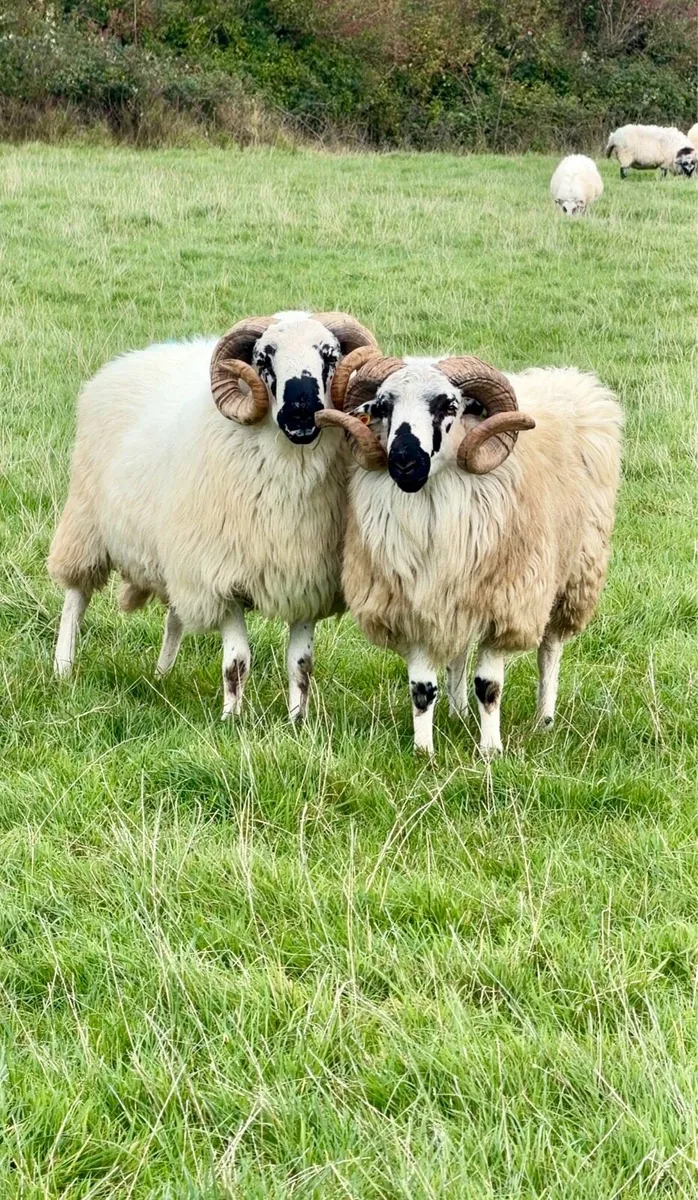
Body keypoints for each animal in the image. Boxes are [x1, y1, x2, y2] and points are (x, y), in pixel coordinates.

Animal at [48, 311, 379, 721]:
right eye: (263, 358)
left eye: (330, 356)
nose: (301, 412)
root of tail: (136, 356)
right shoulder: (221, 578)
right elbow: (237, 661)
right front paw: (231, 719)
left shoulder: (305, 579)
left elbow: (300, 664)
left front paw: (297, 721)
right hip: (85, 523)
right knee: (75, 597)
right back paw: (63, 668)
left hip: (174, 551)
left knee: (174, 614)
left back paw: (161, 676)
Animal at [316, 354, 622, 755]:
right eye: (383, 406)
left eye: (448, 405)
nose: (404, 462)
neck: (433, 511)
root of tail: (564, 376)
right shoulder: (413, 606)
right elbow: (421, 689)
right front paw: (424, 751)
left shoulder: (504, 606)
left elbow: (489, 686)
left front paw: (490, 750)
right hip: (458, 599)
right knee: (459, 655)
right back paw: (457, 712)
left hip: (575, 575)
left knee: (550, 650)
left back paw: (544, 719)